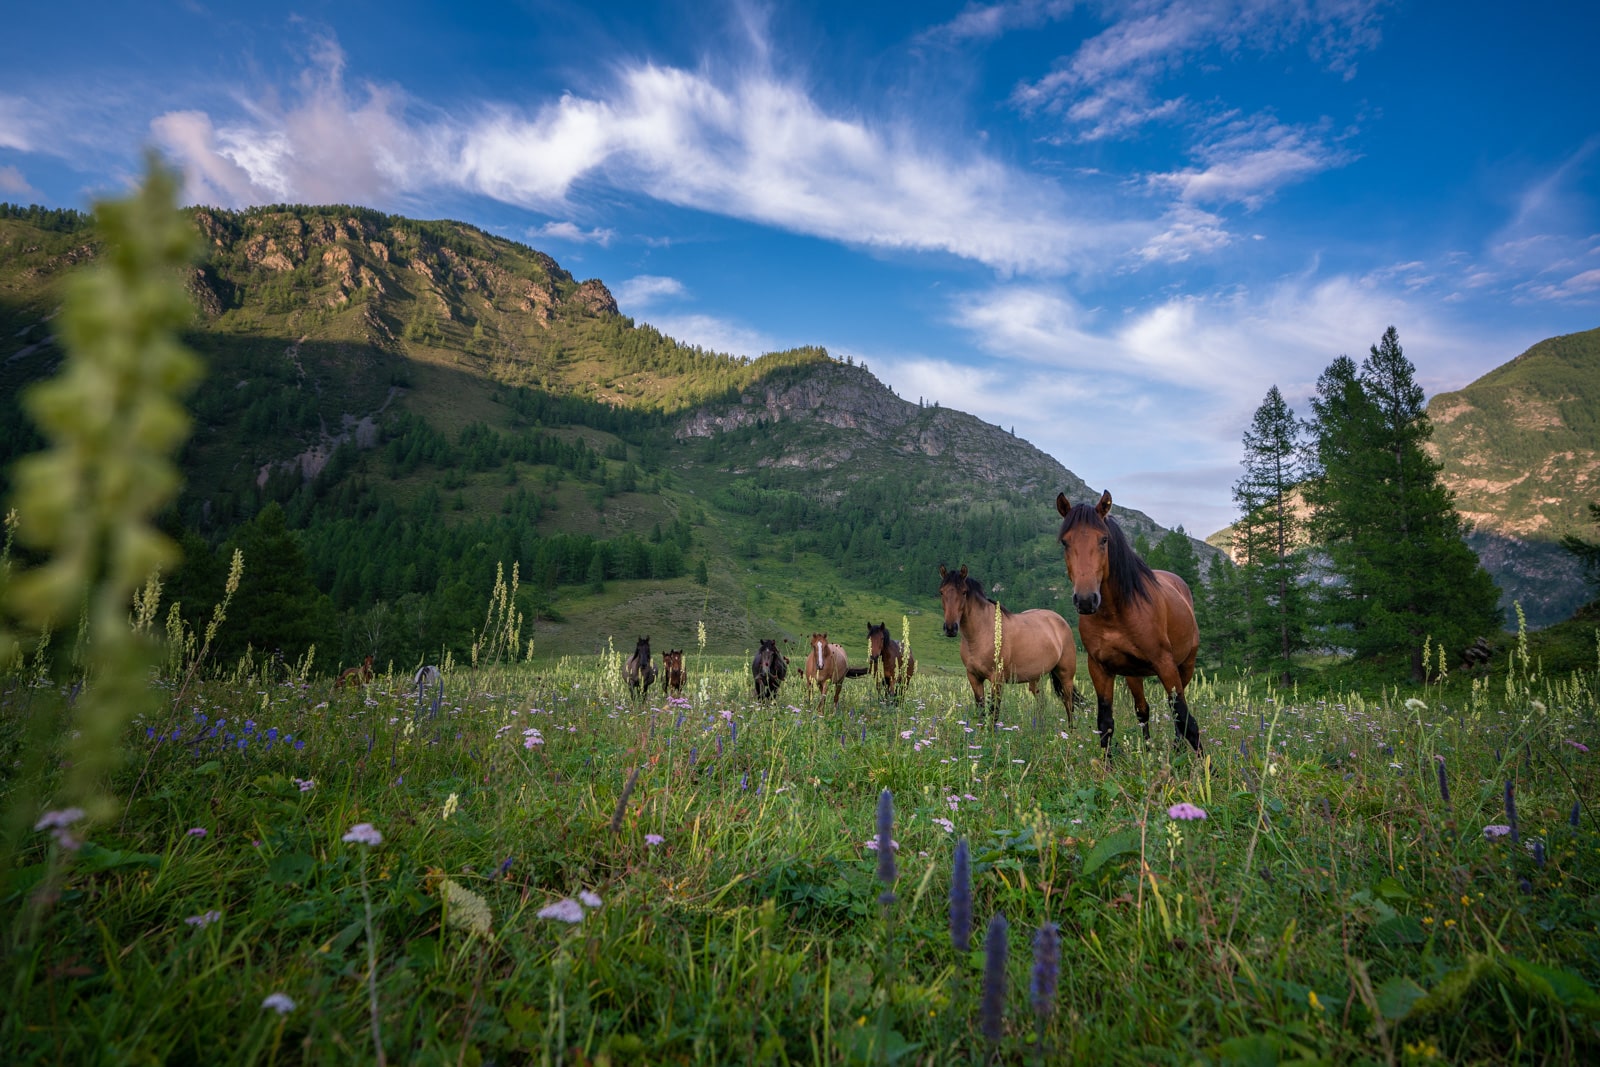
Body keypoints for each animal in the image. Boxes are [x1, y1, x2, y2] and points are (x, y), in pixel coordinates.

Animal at [934, 563, 1075, 723]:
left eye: (964, 592)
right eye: (941, 592)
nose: (950, 628)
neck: (982, 633)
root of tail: (1061, 621)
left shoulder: (997, 680)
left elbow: (994, 713)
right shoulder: (974, 678)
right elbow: (981, 711)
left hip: (1066, 676)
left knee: (1069, 704)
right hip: (1036, 678)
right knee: (1041, 704)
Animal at [1049, 489, 1203, 755]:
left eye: (1103, 540)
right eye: (1065, 542)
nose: (1086, 600)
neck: (1117, 614)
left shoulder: (1165, 665)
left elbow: (1186, 719)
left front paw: (1205, 765)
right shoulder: (1099, 669)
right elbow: (1106, 724)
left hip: (1186, 666)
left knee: (1176, 714)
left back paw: (1176, 750)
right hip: (1134, 675)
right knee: (1143, 710)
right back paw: (1150, 751)